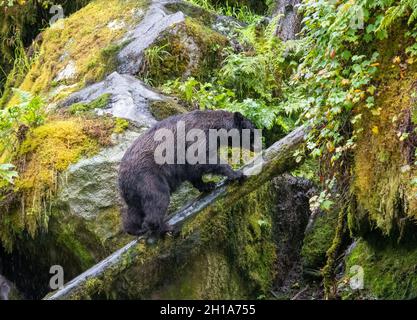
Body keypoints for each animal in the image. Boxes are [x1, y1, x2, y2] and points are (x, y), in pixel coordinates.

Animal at [115, 110, 255, 238]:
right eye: (253, 132)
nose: (258, 146)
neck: (216, 129)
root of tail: (121, 178)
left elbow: (193, 171)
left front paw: (207, 185)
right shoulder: (200, 137)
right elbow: (203, 158)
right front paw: (236, 173)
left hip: (134, 190)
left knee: (134, 209)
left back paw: (134, 229)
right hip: (148, 177)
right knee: (158, 199)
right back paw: (165, 228)